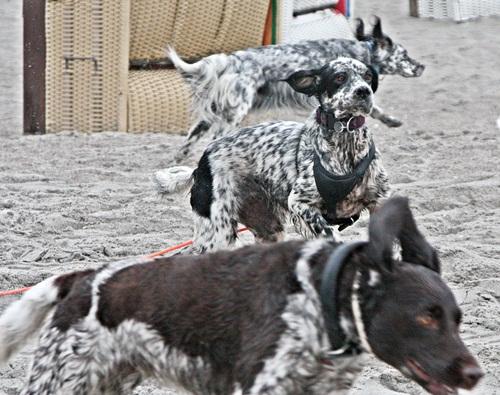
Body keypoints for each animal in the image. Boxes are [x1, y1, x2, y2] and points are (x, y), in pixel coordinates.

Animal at [0, 197, 484, 392]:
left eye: (457, 319)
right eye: (425, 316)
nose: (476, 374)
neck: (319, 299)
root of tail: (83, 278)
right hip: (61, 382)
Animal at [154, 56, 388, 254]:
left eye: (367, 76)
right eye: (340, 77)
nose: (363, 91)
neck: (345, 144)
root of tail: (200, 165)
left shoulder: (379, 202)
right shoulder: (300, 203)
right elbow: (330, 236)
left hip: (267, 229)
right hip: (217, 234)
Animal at [172, 16, 426, 160]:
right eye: (405, 55)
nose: (422, 66)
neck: (362, 51)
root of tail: (232, 60)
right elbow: (371, 106)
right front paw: (391, 120)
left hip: (215, 113)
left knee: (190, 140)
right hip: (233, 115)